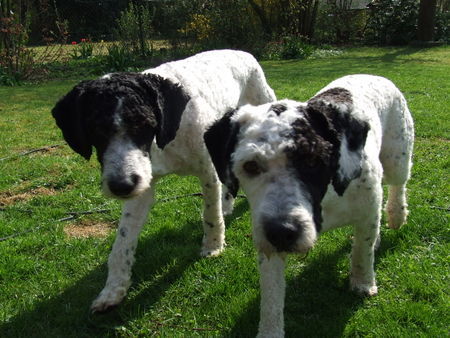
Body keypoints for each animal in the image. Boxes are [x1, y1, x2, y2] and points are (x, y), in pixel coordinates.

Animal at [52, 49, 278, 312]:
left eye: (142, 123)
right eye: (96, 130)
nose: (121, 186)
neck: (165, 133)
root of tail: (241, 51)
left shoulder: (207, 173)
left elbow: (210, 215)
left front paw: (213, 246)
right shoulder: (141, 185)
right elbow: (122, 241)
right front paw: (114, 288)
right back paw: (227, 205)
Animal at [205, 74, 414, 338]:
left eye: (313, 160)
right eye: (250, 166)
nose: (282, 232)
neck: (324, 202)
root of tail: (374, 75)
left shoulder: (367, 208)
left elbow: (362, 253)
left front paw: (363, 282)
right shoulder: (269, 239)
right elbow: (271, 295)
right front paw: (270, 330)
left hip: (397, 159)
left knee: (399, 185)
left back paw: (397, 215)